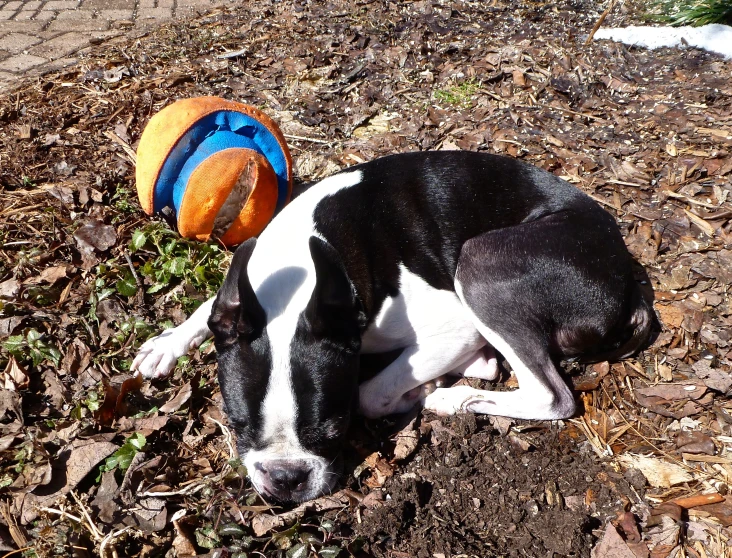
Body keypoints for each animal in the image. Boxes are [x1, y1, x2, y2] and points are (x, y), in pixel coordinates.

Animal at [132, 153, 652, 508]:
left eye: (333, 429)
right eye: (237, 427)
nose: (285, 479)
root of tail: (627, 280)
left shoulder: (453, 321)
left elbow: (369, 393)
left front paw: (416, 394)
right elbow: (213, 307)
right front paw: (168, 343)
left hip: (481, 265)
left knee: (550, 394)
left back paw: (453, 397)